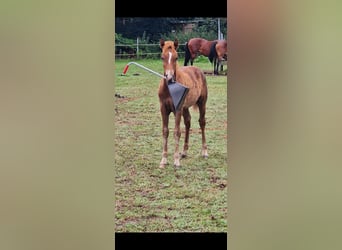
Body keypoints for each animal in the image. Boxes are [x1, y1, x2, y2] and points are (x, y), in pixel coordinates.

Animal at [158, 38, 208, 169]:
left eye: (176, 57)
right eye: (162, 57)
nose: (169, 77)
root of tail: (198, 70)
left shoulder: (178, 109)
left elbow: (177, 132)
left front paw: (176, 161)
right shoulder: (163, 109)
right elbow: (165, 131)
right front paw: (163, 160)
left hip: (202, 102)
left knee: (202, 122)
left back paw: (205, 151)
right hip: (185, 108)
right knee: (188, 122)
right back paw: (184, 152)